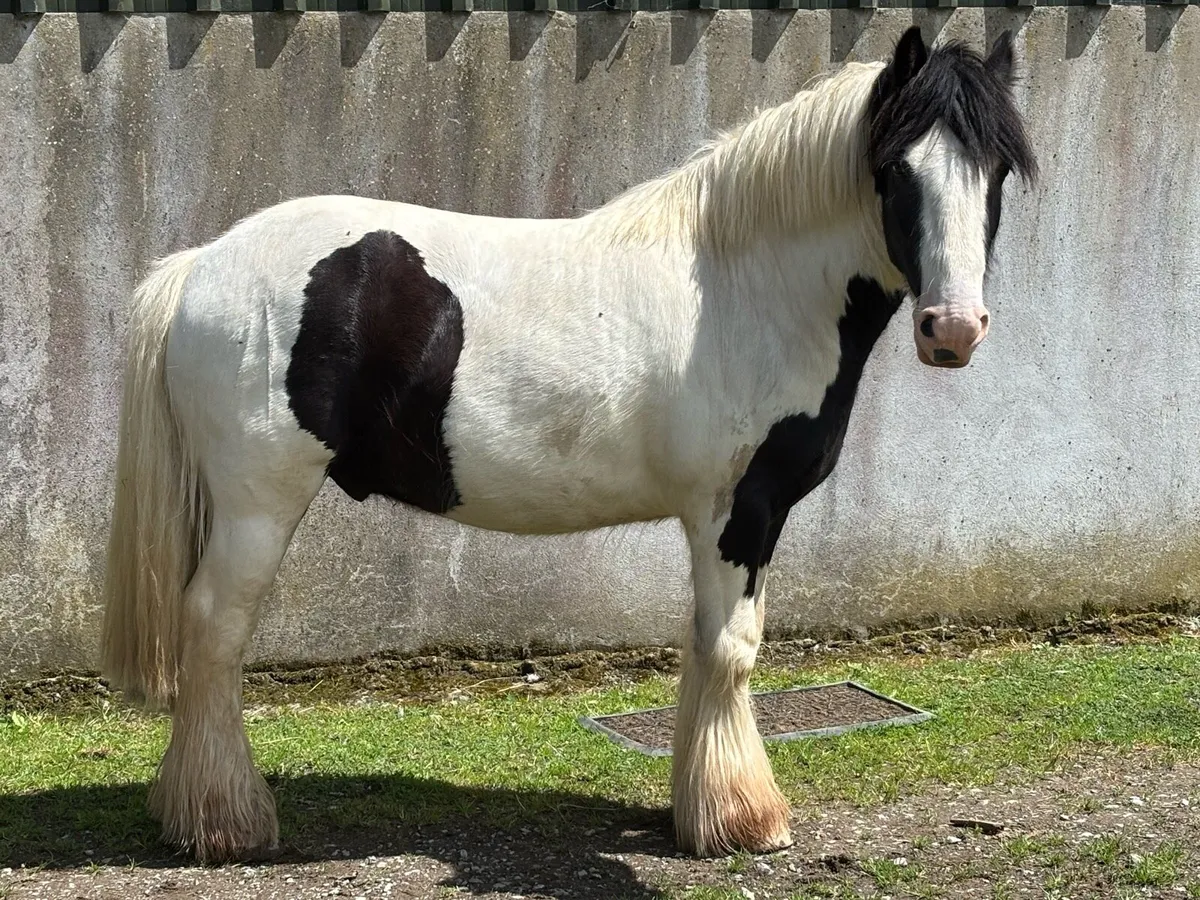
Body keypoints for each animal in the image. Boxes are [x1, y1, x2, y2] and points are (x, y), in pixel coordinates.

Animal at [100, 25, 1036, 863]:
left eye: (995, 172)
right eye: (896, 170)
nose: (953, 330)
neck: (747, 285)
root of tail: (202, 264)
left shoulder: (718, 522)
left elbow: (702, 644)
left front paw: (695, 809)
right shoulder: (740, 511)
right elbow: (733, 649)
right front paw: (743, 819)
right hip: (259, 504)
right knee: (215, 632)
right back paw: (223, 823)